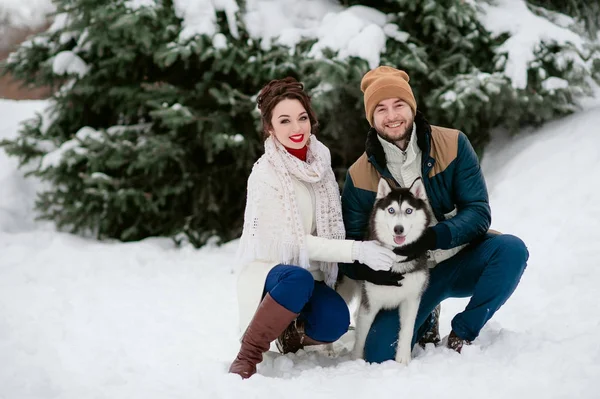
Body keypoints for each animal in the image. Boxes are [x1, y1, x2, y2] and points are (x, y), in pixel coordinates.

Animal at [338, 178, 432, 366]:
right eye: (391, 210)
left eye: (409, 210)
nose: (398, 229)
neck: (395, 259)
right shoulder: (370, 303)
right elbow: (361, 337)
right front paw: (357, 362)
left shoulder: (411, 299)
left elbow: (407, 330)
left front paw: (403, 359)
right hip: (345, 288)